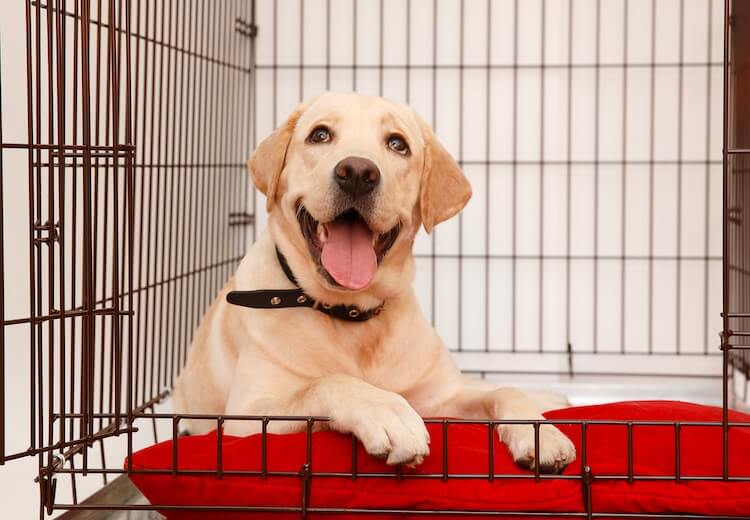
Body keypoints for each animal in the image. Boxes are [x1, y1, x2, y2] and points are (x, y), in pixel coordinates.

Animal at [175, 91, 576, 474]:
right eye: (320, 134)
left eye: (397, 144)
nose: (356, 172)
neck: (353, 315)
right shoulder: (245, 416)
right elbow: (329, 382)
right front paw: (388, 412)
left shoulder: (440, 399)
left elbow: (504, 392)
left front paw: (542, 433)